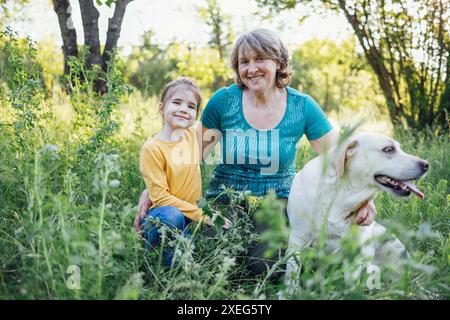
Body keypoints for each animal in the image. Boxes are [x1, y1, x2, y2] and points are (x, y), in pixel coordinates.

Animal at [284, 131, 428, 294]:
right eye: (389, 149)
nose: (426, 164)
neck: (342, 193)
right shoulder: (297, 239)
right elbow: (292, 273)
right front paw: (288, 294)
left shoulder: (355, 248)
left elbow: (350, 283)